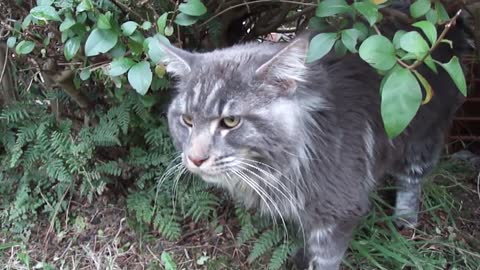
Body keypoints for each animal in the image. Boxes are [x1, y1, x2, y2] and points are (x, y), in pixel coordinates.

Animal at [161, 26, 464, 268]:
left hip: (422, 137)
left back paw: (405, 219)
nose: (195, 158)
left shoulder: (337, 215)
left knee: (412, 179)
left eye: (230, 121)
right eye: (187, 120)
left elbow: (325, 260)